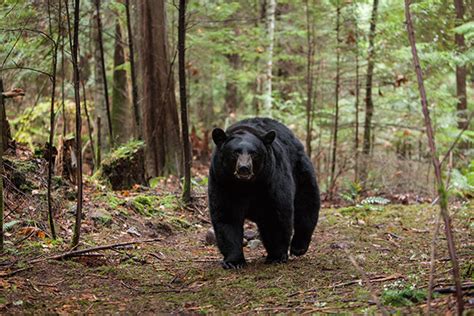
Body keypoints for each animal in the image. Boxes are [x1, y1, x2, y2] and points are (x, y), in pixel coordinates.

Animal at [209, 117, 320, 268]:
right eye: (235, 152)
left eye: (253, 153)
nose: (244, 168)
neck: (245, 186)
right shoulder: (222, 182)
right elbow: (227, 216)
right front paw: (233, 261)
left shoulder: (270, 181)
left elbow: (275, 215)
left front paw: (276, 256)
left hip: (300, 168)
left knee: (307, 203)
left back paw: (299, 247)